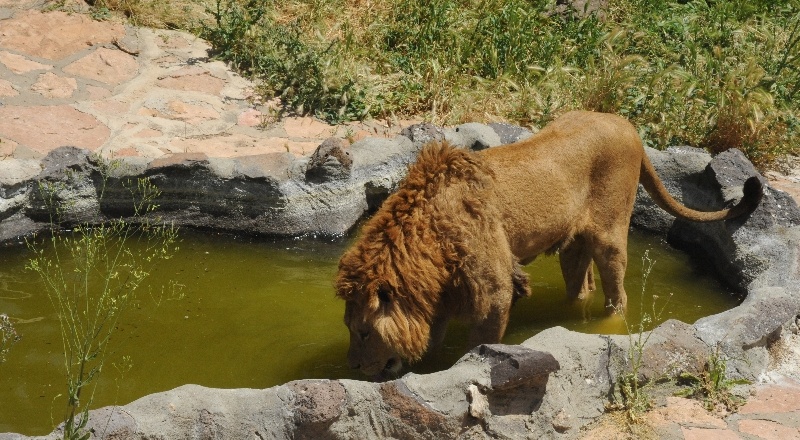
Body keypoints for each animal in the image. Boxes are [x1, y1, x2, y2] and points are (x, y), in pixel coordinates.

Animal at [336, 111, 764, 378]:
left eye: (363, 332)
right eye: (351, 329)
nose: (353, 367)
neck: (425, 234)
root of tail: (626, 125)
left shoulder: (493, 291)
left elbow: (478, 344)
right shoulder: (440, 293)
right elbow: (433, 340)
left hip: (610, 235)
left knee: (618, 296)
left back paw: (605, 328)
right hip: (574, 245)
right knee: (581, 286)